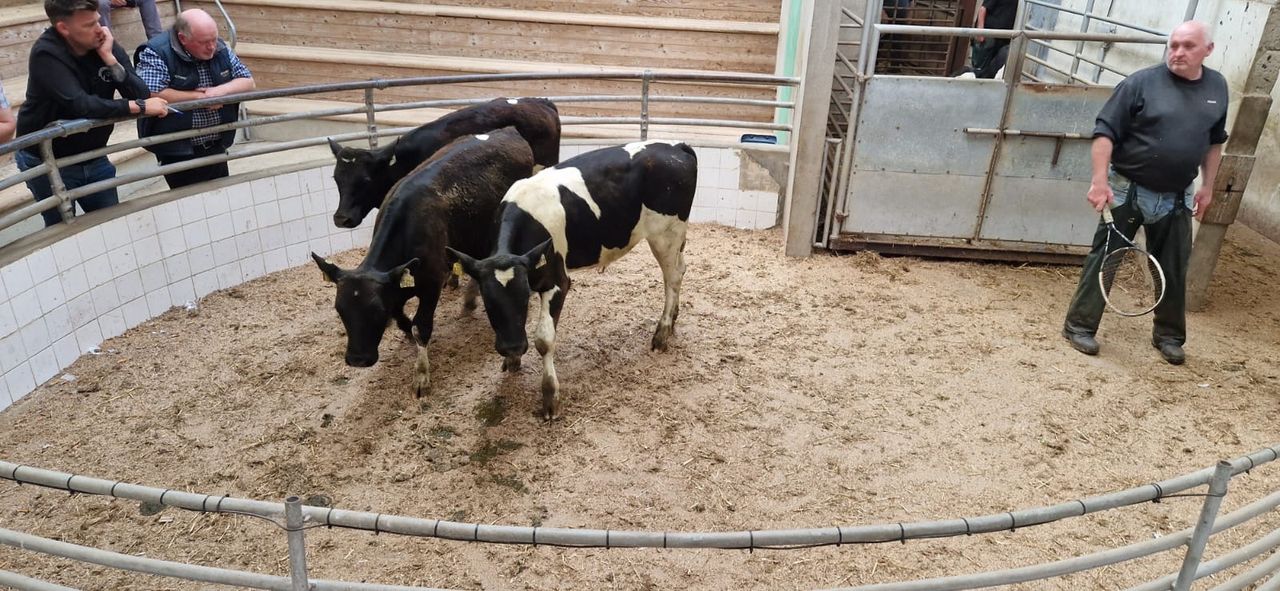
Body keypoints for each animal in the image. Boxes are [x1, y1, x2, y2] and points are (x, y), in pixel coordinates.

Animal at [312, 127, 535, 397]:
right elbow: (401, 318)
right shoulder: (396, 283)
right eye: (340, 309)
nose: (358, 359)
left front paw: (421, 376)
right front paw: (405, 330)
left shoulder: (431, 283)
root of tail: (507, 131)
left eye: (375, 311)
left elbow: (421, 327)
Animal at [448, 140, 697, 420]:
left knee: (671, 278)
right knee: (680, 270)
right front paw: (512, 361)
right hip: (674, 240)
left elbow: (544, 341)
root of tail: (674, 146)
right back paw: (672, 321)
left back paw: (662, 333)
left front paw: (549, 397)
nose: (512, 346)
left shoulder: (557, 281)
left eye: (524, 299)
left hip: (666, 234)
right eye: (489, 303)